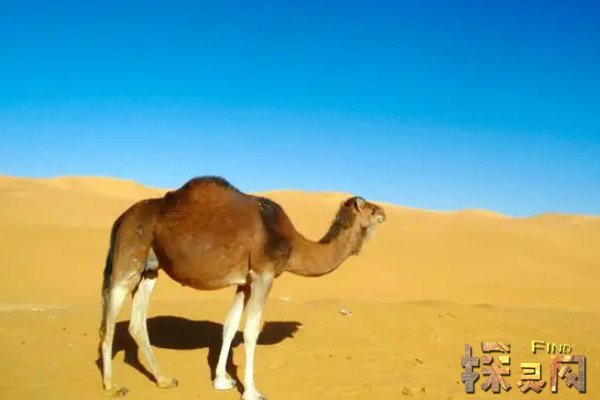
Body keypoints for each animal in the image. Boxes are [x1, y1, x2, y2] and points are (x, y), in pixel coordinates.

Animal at [99, 176, 385, 400]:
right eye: (371, 209)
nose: (384, 212)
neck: (293, 243)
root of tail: (121, 219)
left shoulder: (245, 282)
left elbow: (229, 327)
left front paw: (221, 381)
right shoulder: (263, 274)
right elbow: (250, 331)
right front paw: (252, 391)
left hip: (149, 270)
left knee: (137, 324)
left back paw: (164, 380)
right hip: (129, 257)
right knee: (109, 319)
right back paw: (112, 386)